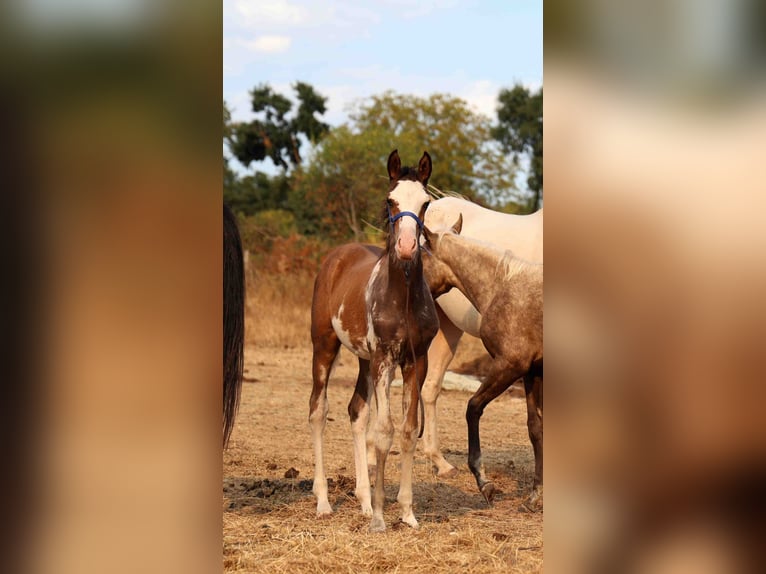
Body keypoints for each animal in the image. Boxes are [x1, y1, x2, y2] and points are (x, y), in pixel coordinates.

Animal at [309, 150, 439, 532]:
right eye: (390, 200)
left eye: (425, 203)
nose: (407, 248)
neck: (403, 297)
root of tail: (336, 257)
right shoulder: (385, 358)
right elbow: (384, 431)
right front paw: (381, 517)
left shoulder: (415, 360)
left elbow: (408, 430)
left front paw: (406, 512)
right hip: (324, 347)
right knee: (318, 410)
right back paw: (324, 502)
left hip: (364, 360)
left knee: (356, 411)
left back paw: (364, 501)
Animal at [423, 216, 543, 510]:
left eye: (418, 258)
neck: (502, 287)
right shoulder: (532, 371)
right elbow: (535, 428)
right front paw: (535, 495)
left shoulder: (509, 366)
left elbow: (473, 408)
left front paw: (484, 483)